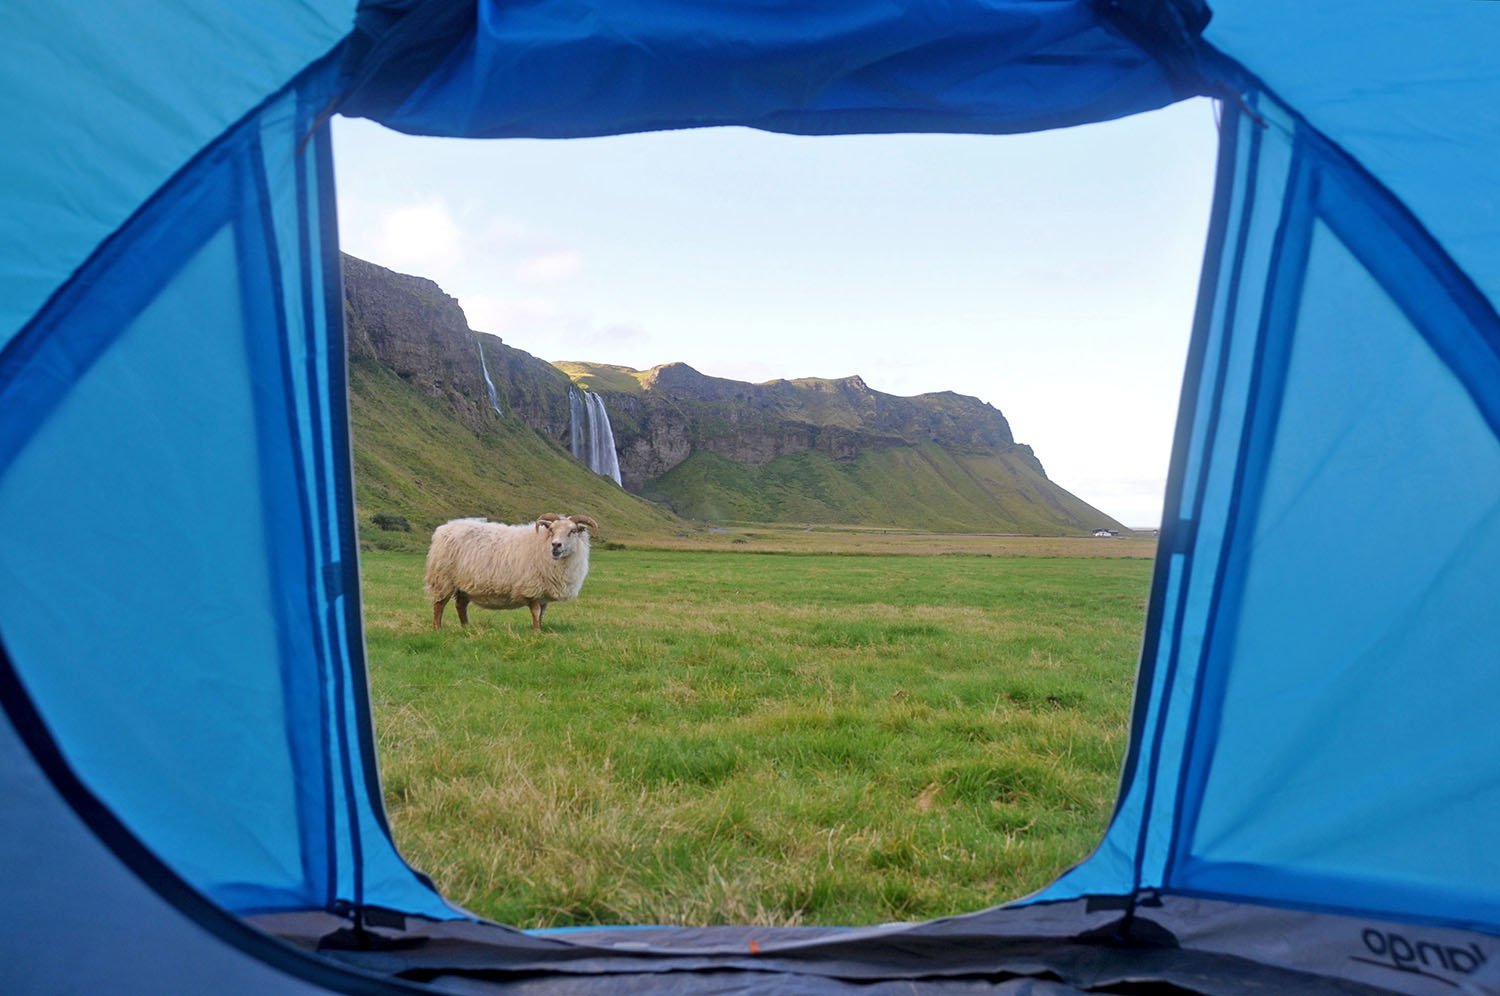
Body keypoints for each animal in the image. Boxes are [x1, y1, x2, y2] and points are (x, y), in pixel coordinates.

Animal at [423, 513, 597, 630]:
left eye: (573, 531)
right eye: (552, 530)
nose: (556, 545)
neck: (542, 544)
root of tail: (443, 529)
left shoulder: (544, 592)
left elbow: (542, 613)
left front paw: (540, 629)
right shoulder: (532, 587)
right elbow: (535, 612)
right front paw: (536, 632)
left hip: (465, 584)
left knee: (460, 606)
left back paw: (466, 627)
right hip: (443, 578)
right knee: (439, 605)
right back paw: (437, 628)